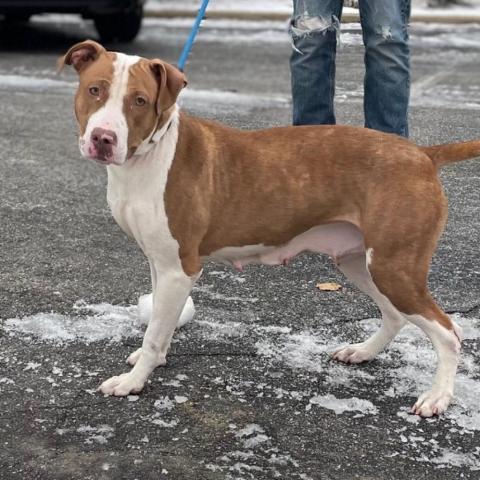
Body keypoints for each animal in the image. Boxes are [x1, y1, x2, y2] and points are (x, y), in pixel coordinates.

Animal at [60, 40, 480, 416]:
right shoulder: (158, 262)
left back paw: (437, 398)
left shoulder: (179, 270)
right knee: (394, 315)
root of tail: (422, 154)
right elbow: (160, 326)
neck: (148, 157)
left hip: (394, 267)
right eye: (95, 90)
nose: (103, 138)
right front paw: (153, 360)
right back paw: (362, 352)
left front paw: (134, 382)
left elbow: (154, 334)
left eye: (140, 101)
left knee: (449, 333)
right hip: (361, 261)